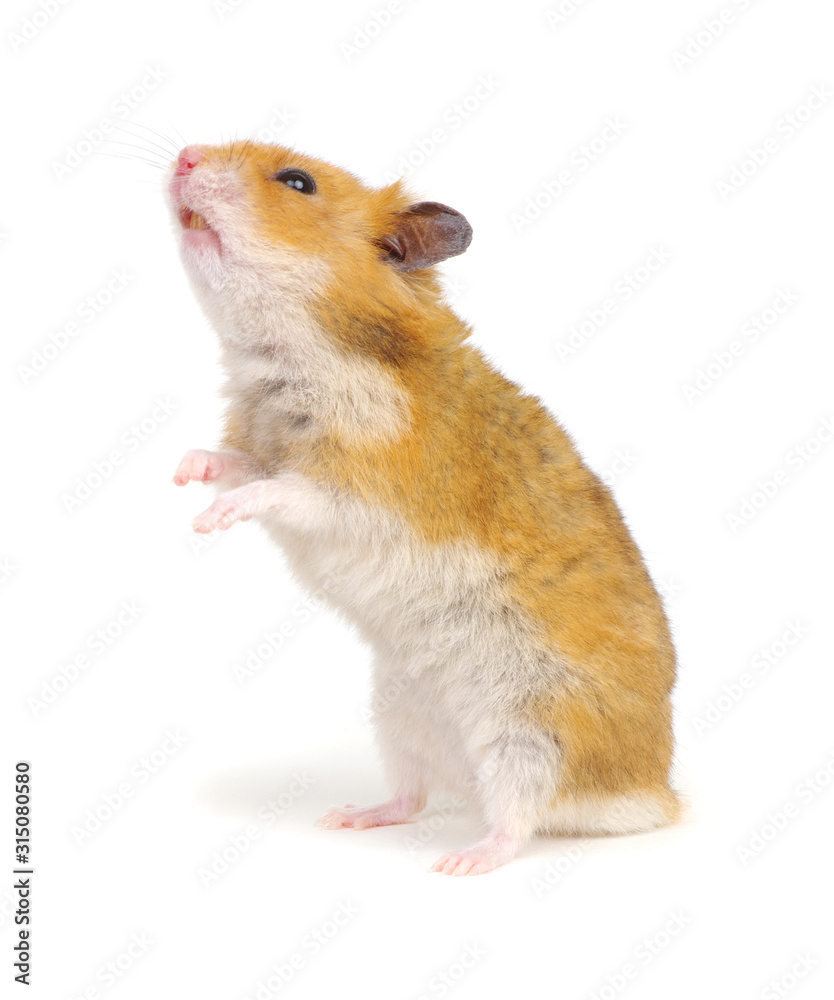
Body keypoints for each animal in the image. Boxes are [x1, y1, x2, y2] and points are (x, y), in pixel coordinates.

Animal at [166, 141, 680, 876]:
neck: (294, 355)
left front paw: (209, 519)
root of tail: (653, 793)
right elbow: (233, 464)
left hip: (531, 739)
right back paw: (348, 817)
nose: (183, 156)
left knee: (519, 821)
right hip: (400, 716)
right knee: (411, 797)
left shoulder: (353, 494)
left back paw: (462, 862)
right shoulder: (266, 453)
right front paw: (183, 473)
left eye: (298, 182)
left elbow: (273, 491)